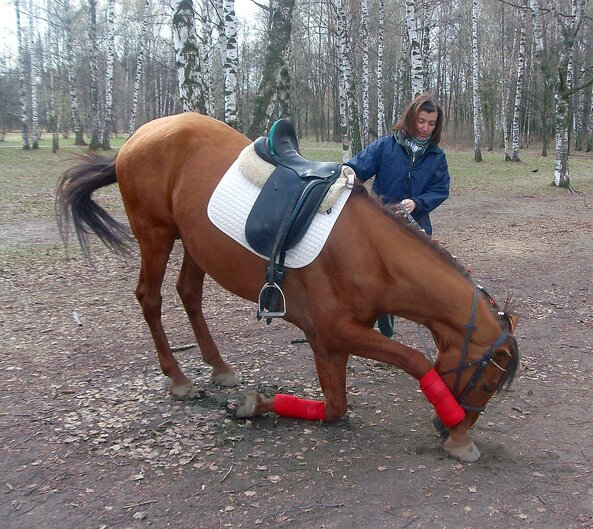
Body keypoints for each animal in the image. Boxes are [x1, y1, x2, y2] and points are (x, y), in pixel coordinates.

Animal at [56, 113, 520, 460]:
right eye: (489, 382)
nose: (445, 425)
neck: (371, 252)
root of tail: (138, 137)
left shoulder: (330, 341)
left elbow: (334, 407)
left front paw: (256, 405)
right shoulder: (333, 332)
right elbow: (415, 361)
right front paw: (461, 436)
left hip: (194, 242)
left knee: (188, 293)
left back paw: (219, 367)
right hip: (156, 233)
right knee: (149, 298)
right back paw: (178, 377)